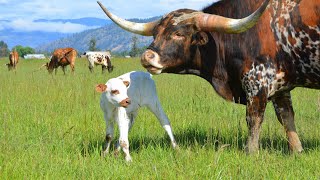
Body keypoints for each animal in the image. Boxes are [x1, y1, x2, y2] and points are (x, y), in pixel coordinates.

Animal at [99, 0, 320, 154]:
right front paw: (297, 151)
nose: (147, 57)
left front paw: (251, 152)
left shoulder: (258, 81)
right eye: (156, 33)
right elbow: (286, 118)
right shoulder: (281, 88)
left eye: (179, 34)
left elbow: (253, 119)